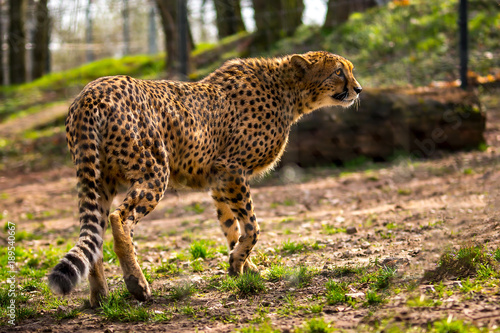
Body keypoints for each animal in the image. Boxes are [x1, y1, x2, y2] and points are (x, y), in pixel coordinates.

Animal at [48, 50, 362, 304]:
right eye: (338, 72)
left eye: (350, 69)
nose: (358, 89)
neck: (288, 92)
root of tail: (92, 90)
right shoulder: (232, 169)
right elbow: (252, 227)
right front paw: (239, 264)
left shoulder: (219, 180)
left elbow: (231, 226)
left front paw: (243, 267)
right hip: (154, 172)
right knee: (119, 219)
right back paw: (137, 284)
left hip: (100, 180)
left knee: (95, 232)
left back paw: (100, 296)